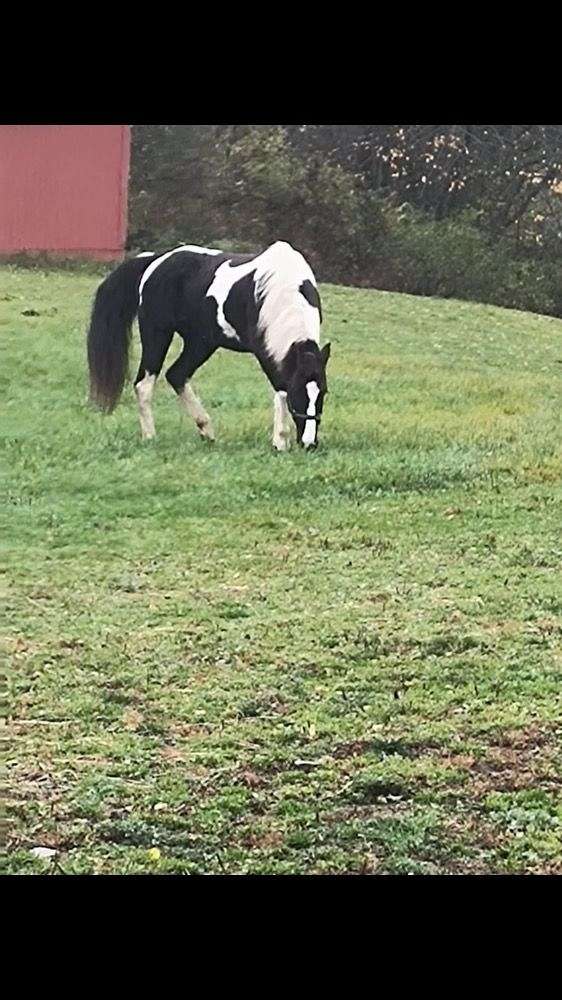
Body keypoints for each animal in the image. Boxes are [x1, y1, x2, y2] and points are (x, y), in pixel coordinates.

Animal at [87, 239, 328, 450]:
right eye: (299, 393)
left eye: (323, 393)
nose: (309, 444)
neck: (283, 290)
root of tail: (156, 261)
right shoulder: (264, 353)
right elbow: (281, 390)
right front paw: (280, 442)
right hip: (157, 335)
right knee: (144, 384)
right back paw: (150, 436)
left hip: (200, 344)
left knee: (176, 375)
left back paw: (207, 431)